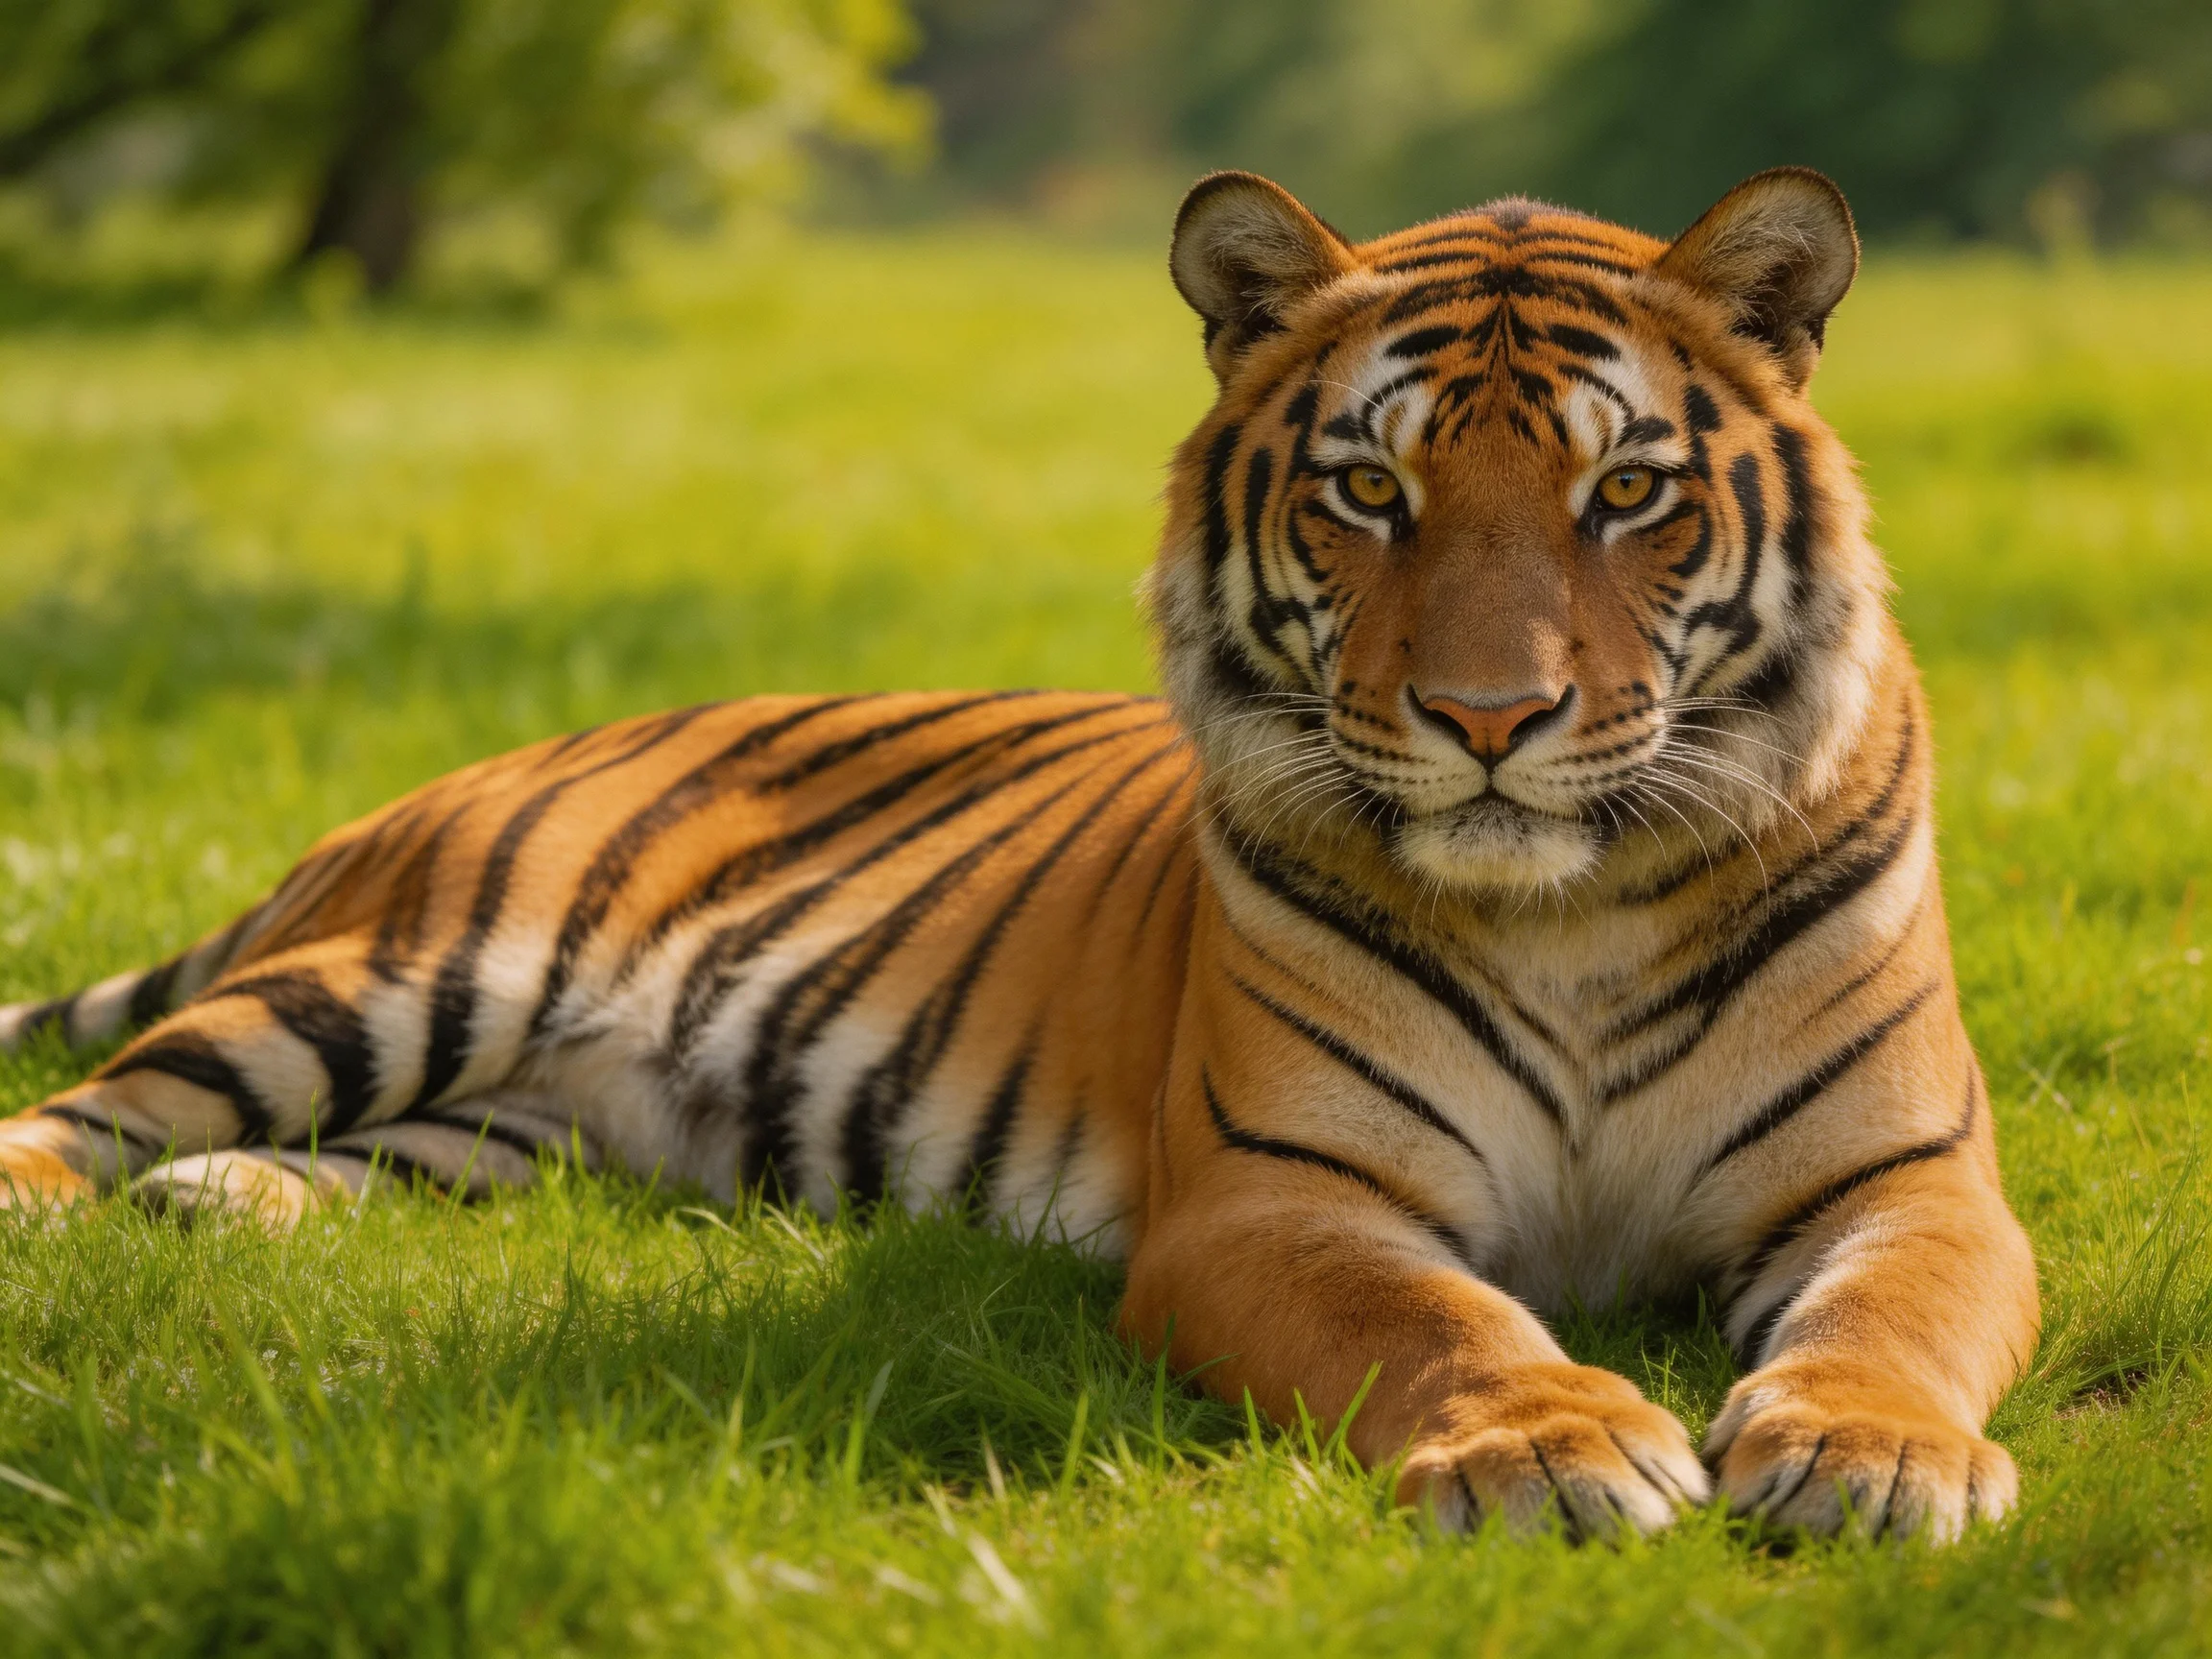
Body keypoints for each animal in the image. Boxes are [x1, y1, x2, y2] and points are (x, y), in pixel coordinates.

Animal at [0, 167, 2038, 1543]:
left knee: (336, 1159)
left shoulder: (1907, 1175)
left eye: (1624, 491)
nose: (1485, 717)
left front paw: (1871, 1456)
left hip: (517, 1124)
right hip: (407, 975)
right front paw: (1552, 1440)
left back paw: (219, 1204)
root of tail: (475, 765)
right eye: (1364, 489)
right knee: (78, 1111)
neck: (1574, 910)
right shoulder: (1270, 1198)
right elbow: (1435, 1311)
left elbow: (1894, 1313)